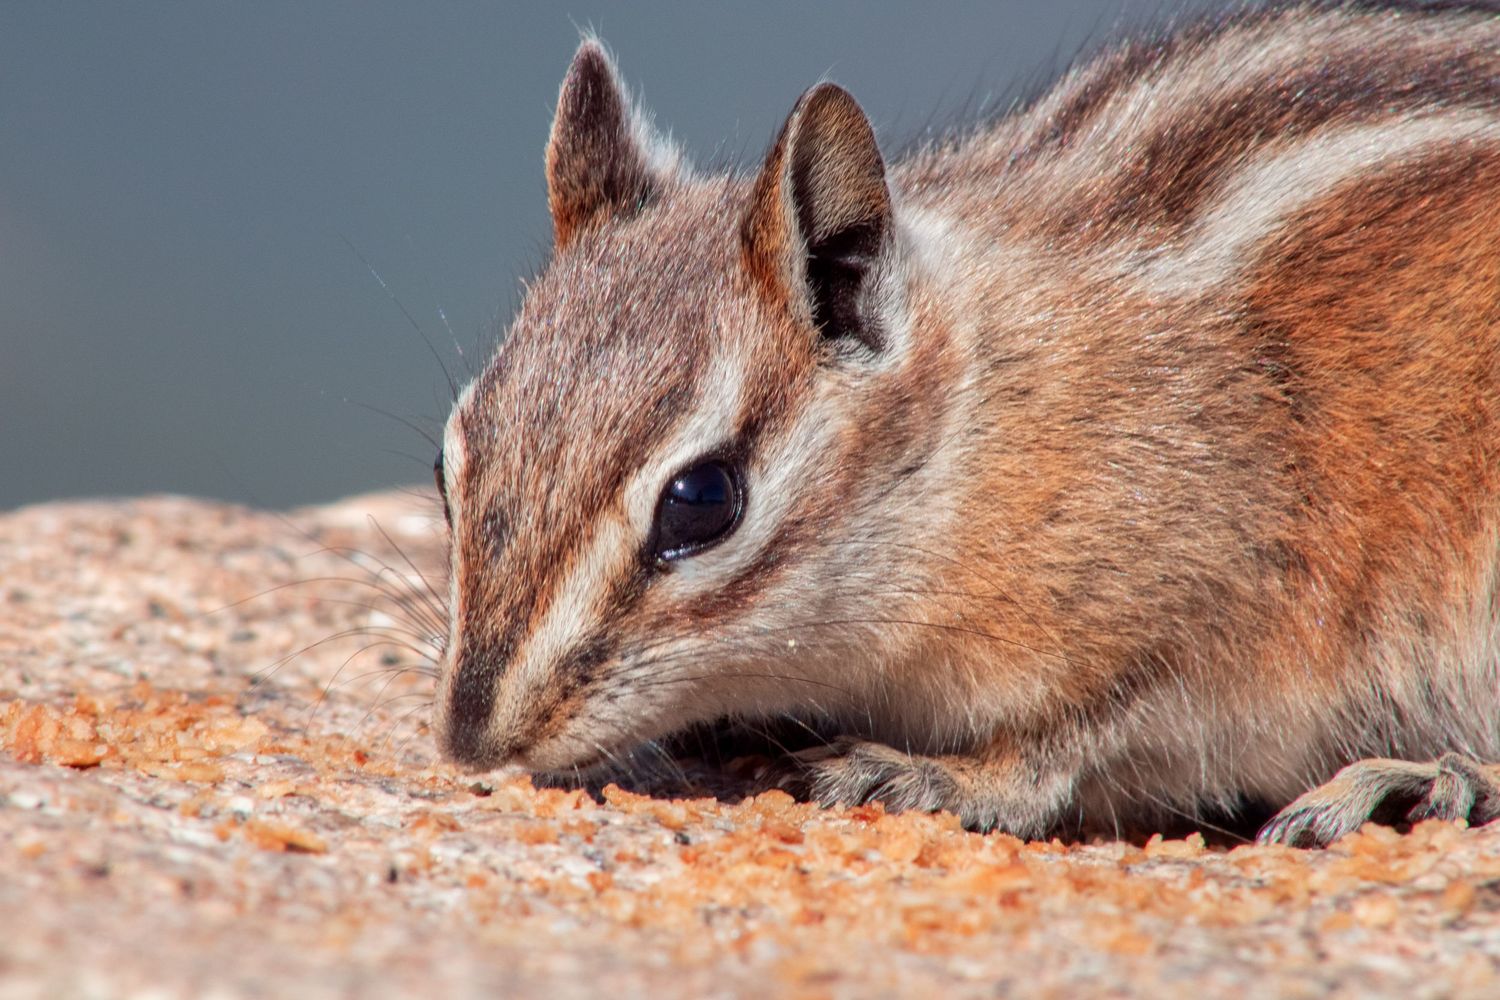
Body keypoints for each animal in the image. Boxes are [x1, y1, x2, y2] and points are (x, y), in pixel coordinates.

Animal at [430, 1, 1500, 847]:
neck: (974, 429)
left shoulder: (1220, 588)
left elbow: (1078, 736)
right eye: (449, 466)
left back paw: (1413, 778)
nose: (471, 739)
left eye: (702, 502)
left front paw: (935, 774)